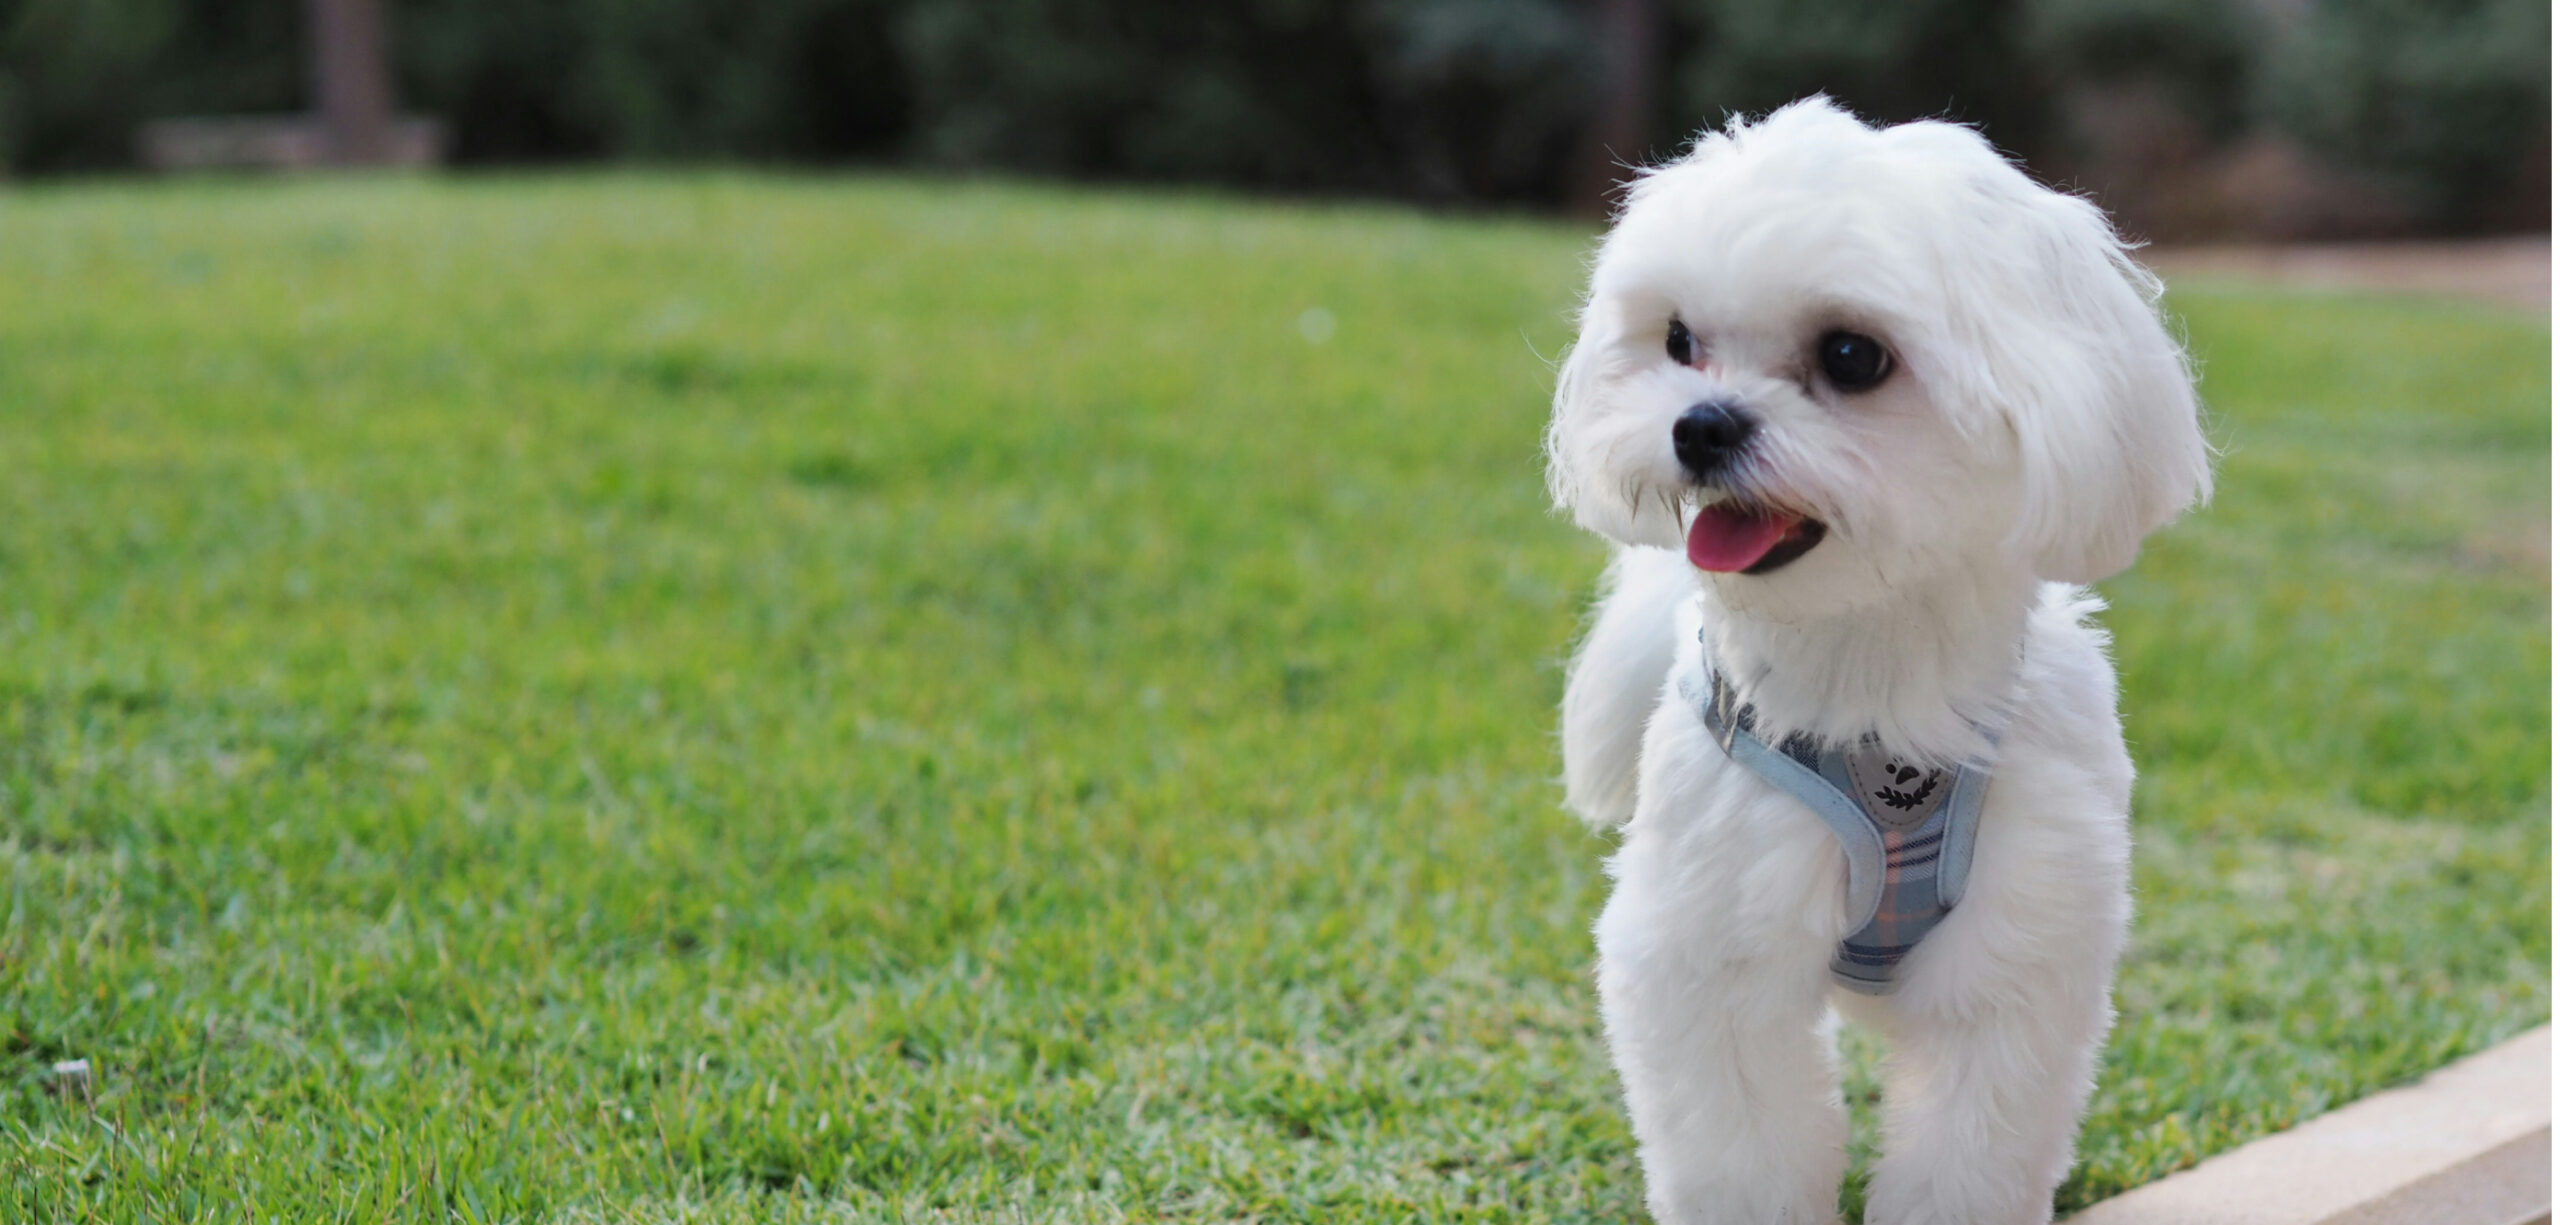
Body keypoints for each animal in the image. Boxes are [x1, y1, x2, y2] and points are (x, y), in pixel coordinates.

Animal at [1546, 98, 2212, 1224]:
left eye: (1853, 355)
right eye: (1678, 340)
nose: (1699, 423)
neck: (1872, 671)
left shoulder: (2015, 954)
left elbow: (1969, 1148)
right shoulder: (1708, 947)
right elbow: (1741, 1149)